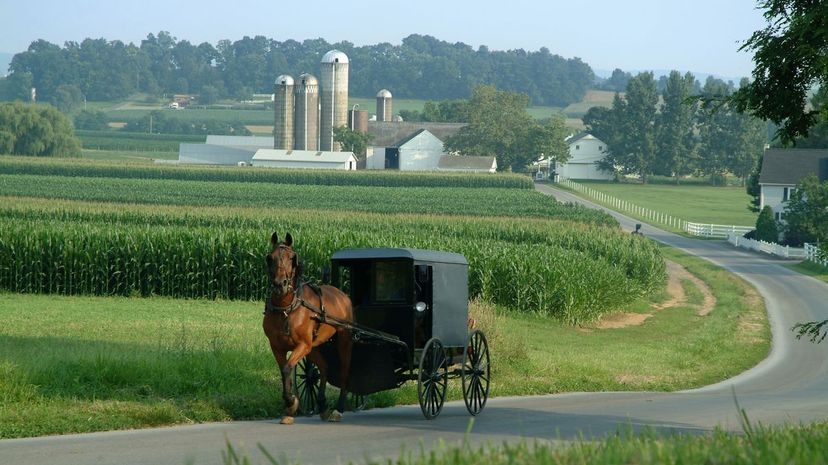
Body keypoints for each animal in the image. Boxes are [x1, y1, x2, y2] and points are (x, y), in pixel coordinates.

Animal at [262, 232, 352, 424]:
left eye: (291, 258)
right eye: (270, 258)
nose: (280, 284)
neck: (287, 308)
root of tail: (342, 294)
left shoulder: (302, 345)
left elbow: (288, 368)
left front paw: (291, 403)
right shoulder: (277, 346)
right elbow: (284, 370)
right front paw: (290, 407)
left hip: (344, 340)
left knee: (344, 372)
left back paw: (338, 409)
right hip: (314, 347)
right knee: (324, 367)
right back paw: (322, 404)